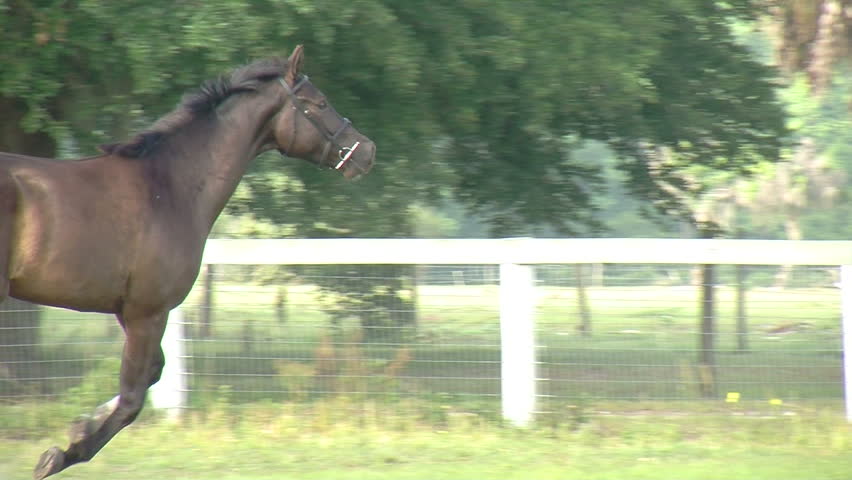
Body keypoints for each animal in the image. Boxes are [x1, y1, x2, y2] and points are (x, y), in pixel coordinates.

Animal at [0, 45, 375, 479]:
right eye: (320, 103)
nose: (366, 151)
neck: (171, 186)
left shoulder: (130, 311)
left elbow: (152, 374)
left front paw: (82, 424)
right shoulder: (148, 311)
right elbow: (132, 398)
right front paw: (62, 452)